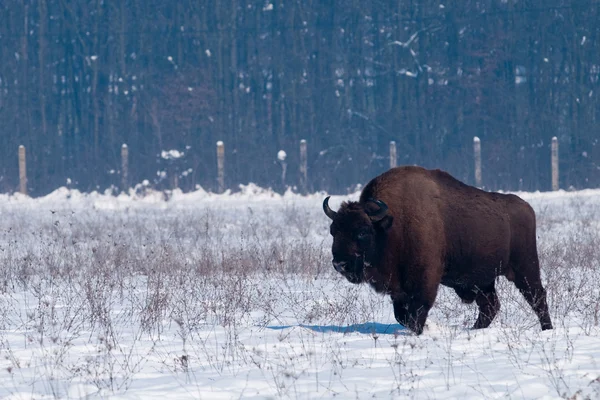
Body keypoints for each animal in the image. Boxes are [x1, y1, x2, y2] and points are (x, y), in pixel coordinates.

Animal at [324, 166, 552, 334]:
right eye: (333, 230)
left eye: (362, 232)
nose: (339, 264)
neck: (391, 225)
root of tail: (527, 208)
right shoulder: (399, 290)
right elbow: (402, 315)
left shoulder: (424, 280)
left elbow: (417, 311)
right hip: (483, 280)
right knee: (490, 305)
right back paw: (473, 330)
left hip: (525, 268)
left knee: (537, 297)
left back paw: (547, 329)